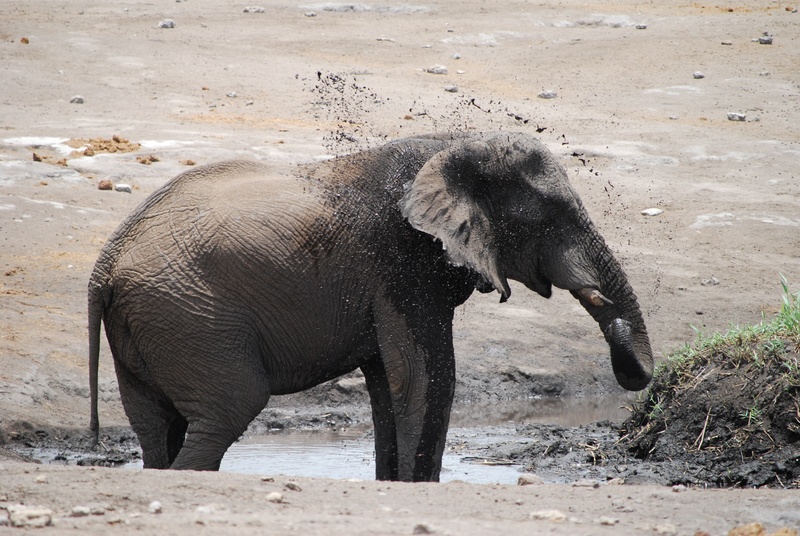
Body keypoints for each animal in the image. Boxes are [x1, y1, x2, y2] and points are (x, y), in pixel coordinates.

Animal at [88, 131, 653, 482]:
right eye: (552, 216)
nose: (634, 376)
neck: (452, 143)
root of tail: (104, 265)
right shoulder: (404, 263)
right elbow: (426, 378)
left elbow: (388, 384)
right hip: (191, 317)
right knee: (229, 409)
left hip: (153, 324)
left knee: (156, 427)